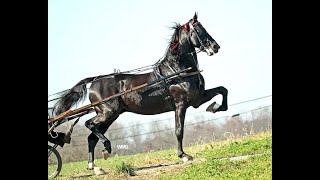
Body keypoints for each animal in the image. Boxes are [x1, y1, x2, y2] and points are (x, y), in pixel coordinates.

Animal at [53, 13, 228, 170]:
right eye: (198, 29)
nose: (215, 47)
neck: (177, 71)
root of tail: (95, 80)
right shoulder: (181, 104)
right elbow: (179, 130)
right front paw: (184, 155)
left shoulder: (197, 99)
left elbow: (223, 90)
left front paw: (215, 107)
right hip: (108, 113)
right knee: (89, 125)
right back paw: (107, 148)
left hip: (111, 116)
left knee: (91, 137)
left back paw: (94, 165)